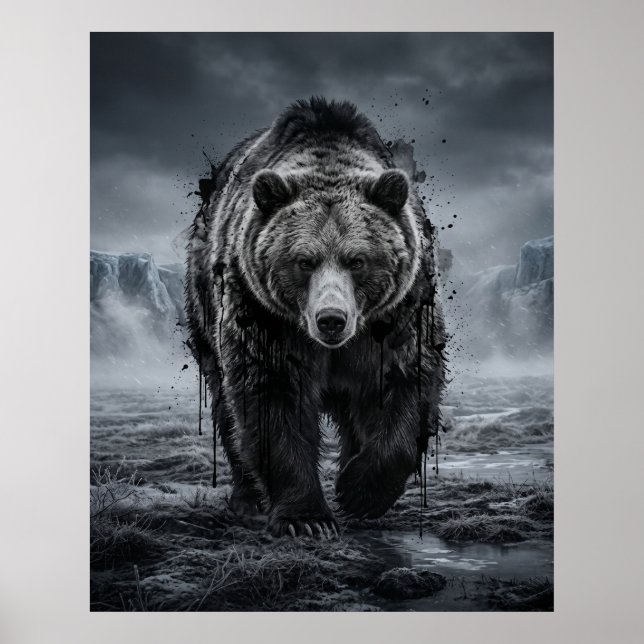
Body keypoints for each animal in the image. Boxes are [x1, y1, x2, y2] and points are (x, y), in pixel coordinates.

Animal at [185, 97, 446, 537]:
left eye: (357, 260)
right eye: (304, 260)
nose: (331, 319)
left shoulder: (397, 316)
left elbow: (405, 382)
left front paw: (358, 491)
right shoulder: (265, 318)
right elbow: (271, 395)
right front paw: (307, 519)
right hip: (205, 307)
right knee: (225, 405)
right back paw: (248, 497)